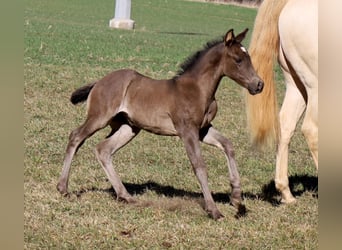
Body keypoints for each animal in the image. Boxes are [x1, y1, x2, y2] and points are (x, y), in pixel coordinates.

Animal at [56, 28, 264, 219]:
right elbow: (199, 165)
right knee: (76, 137)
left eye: (249, 58)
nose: (259, 85)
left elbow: (228, 145)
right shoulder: (187, 131)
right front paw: (214, 210)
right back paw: (63, 188)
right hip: (99, 117)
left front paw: (236, 198)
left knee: (103, 149)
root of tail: (99, 81)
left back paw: (125, 196)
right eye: (238, 60)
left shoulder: (203, 129)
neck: (197, 89)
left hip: (128, 127)